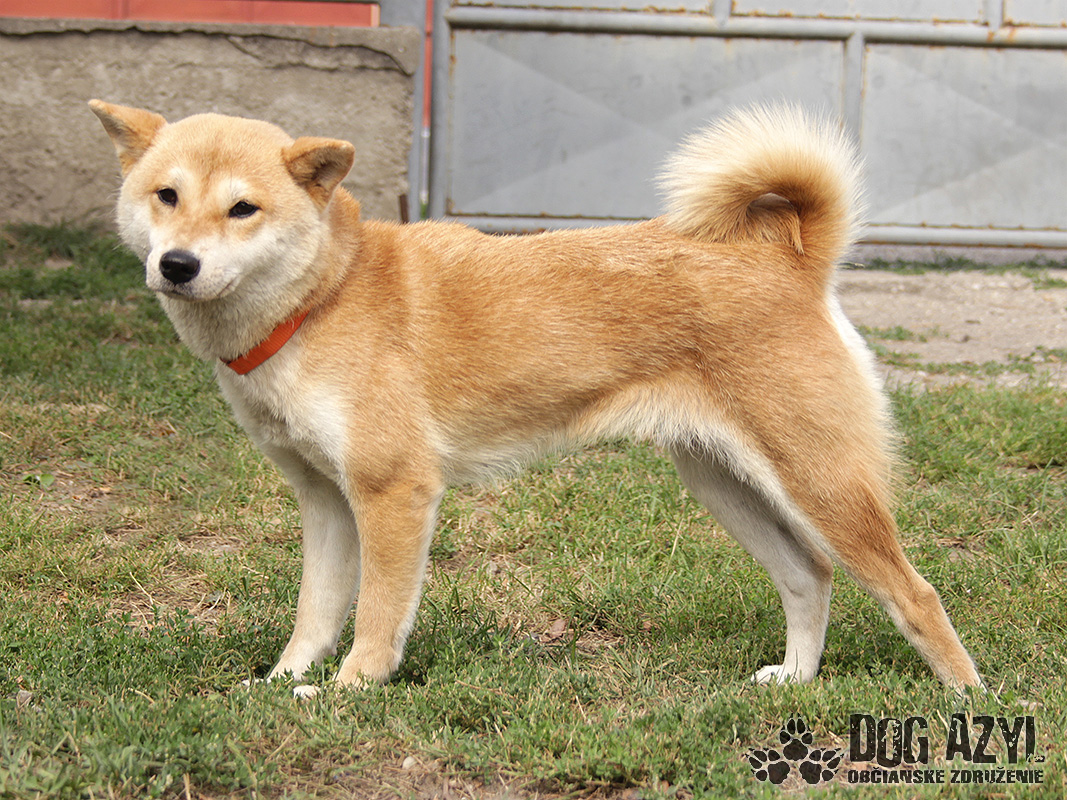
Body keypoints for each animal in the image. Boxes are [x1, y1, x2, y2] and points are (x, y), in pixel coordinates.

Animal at [90, 100, 982, 693]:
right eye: (166, 196)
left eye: (243, 208)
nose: (176, 265)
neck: (325, 297)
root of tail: (790, 258)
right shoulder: (325, 501)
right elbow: (315, 614)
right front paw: (284, 689)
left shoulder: (393, 494)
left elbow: (375, 617)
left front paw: (351, 693)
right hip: (724, 483)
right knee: (808, 576)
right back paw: (795, 679)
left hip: (818, 483)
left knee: (914, 594)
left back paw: (968, 704)